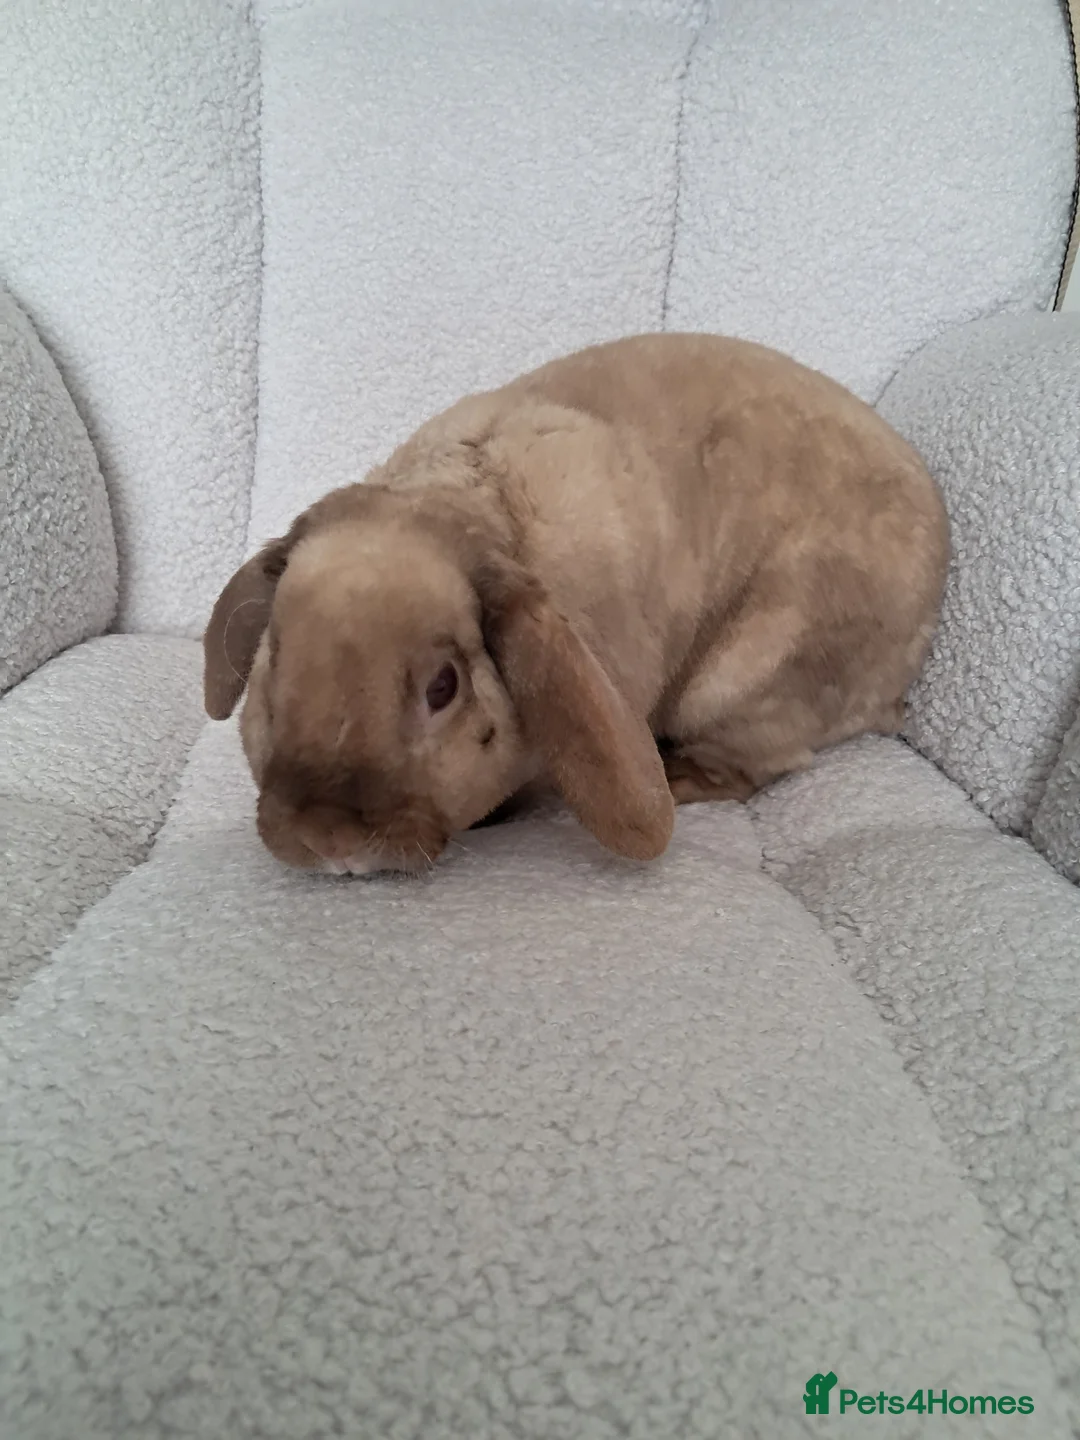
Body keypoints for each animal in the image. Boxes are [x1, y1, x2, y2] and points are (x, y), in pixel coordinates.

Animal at [203, 332, 949, 875]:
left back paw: (681, 778)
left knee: (764, 765)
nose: (326, 838)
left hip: (741, 684)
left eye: (443, 687)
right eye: (273, 658)